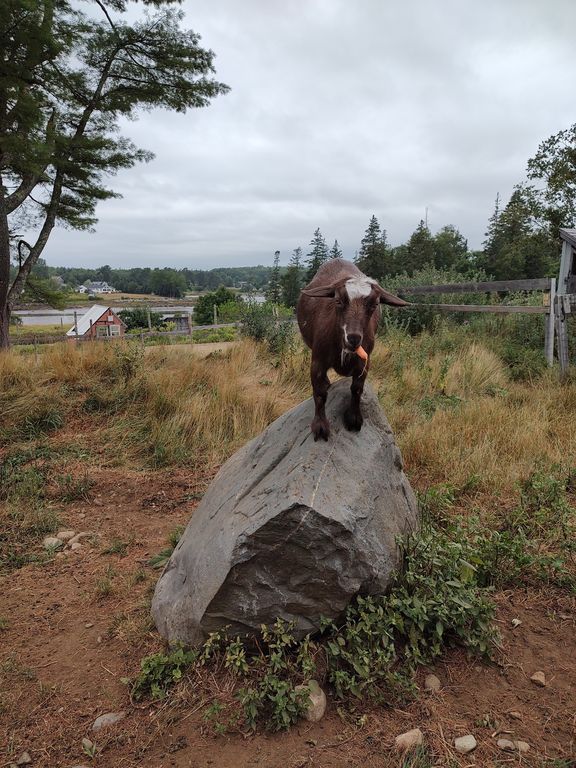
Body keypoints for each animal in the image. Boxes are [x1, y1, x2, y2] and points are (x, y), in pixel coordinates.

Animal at [296, 259, 407, 441]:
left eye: (375, 304)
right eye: (338, 300)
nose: (353, 338)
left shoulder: (365, 362)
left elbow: (357, 388)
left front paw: (354, 419)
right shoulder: (317, 360)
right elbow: (319, 393)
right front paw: (320, 426)